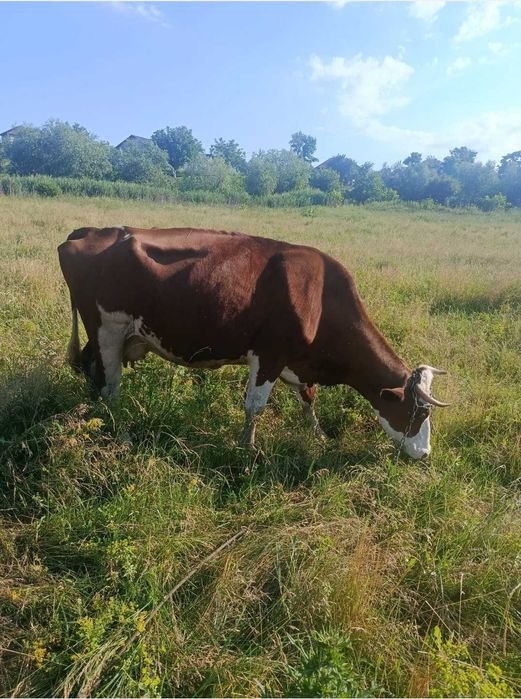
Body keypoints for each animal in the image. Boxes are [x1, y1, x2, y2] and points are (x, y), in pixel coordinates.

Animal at [58, 225, 449, 458]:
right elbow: (255, 408)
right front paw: (247, 450)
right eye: (420, 412)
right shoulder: (269, 355)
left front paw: (319, 435)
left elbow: (307, 398)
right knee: (110, 388)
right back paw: (121, 436)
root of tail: (97, 231)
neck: (320, 295)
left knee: (92, 374)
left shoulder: (295, 362)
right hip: (108, 330)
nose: (425, 454)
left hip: (106, 337)